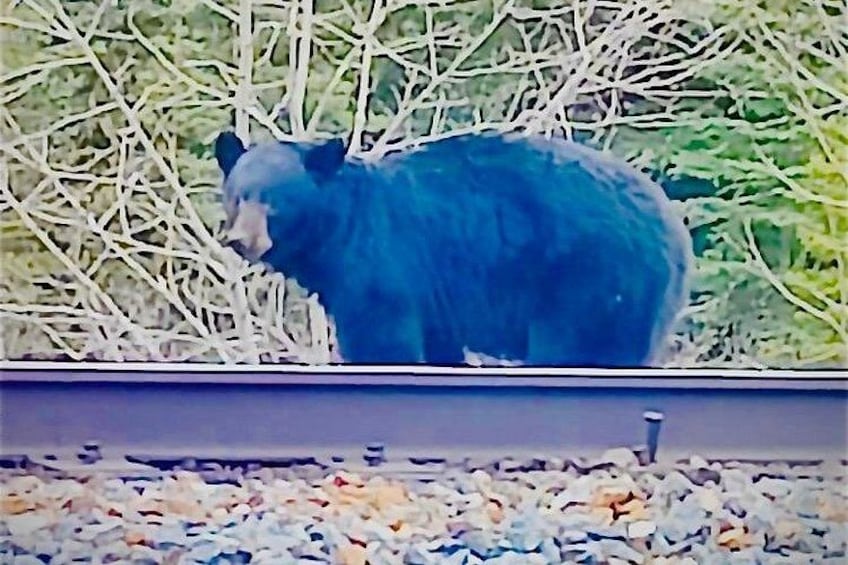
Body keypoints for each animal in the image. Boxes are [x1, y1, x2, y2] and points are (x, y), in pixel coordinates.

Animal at [214, 130, 694, 367]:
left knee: (580, 349)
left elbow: (382, 338)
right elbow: (438, 344)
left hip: (591, 281)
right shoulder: (434, 296)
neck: (337, 232)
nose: (242, 240)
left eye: (275, 200)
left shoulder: (383, 267)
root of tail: (674, 233)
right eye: (238, 195)